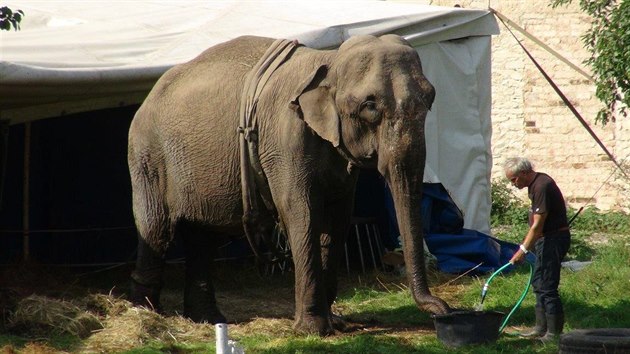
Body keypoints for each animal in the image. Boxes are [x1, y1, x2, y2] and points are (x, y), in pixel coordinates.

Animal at [128, 33, 452, 334]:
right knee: (156, 229)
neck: (329, 61)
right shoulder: (284, 141)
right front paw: (314, 330)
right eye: (369, 106)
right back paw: (146, 315)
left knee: (201, 238)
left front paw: (335, 323)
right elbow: (301, 212)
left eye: (431, 99)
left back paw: (209, 320)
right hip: (148, 157)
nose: (443, 310)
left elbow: (337, 219)